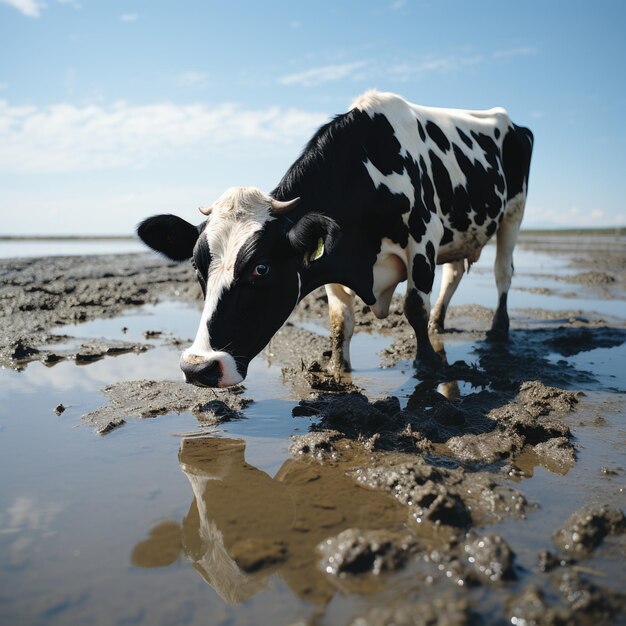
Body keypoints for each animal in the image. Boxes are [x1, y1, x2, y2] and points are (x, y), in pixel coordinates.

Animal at [138, 88, 532, 386]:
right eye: (196, 266)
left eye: (261, 268)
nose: (198, 367)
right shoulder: (333, 256)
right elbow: (341, 321)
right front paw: (339, 369)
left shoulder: (424, 240)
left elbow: (413, 307)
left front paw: (428, 364)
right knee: (454, 273)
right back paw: (441, 323)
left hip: (514, 212)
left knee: (503, 273)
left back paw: (498, 331)